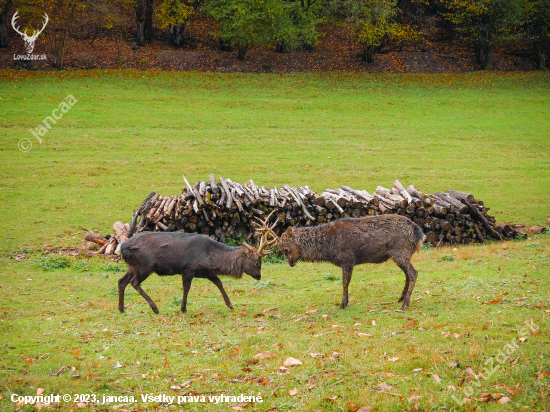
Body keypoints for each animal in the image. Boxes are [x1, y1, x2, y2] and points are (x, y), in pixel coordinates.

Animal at [117, 229, 276, 316]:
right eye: (257, 262)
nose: (259, 276)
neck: (210, 257)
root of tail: (121, 246)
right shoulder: (188, 269)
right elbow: (186, 288)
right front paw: (183, 308)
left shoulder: (208, 272)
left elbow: (219, 283)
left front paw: (230, 304)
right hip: (145, 266)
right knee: (134, 282)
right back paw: (155, 308)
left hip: (133, 266)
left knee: (121, 281)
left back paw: (121, 309)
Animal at [260, 214, 430, 310]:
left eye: (285, 249)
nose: (291, 263)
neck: (329, 248)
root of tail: (420, 235)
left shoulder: (347, 259)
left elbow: (344, 282)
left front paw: (343, 304)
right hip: (401, 255)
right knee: (408, 274)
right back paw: (400, 299)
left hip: (400, 252)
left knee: (413, 273)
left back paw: (404, 304)